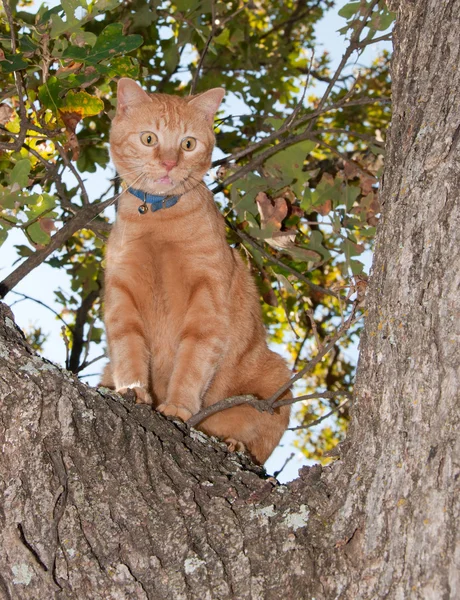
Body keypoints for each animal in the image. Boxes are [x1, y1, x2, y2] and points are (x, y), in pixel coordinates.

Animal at [101, 78, 292, 464]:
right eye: (149, 139)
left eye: (188, 144)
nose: (169, 163)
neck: (159, 219)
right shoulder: (121, 295)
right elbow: (128, 348)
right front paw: (133, 390)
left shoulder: (207, 301)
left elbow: (191, 362)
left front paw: (177, 407)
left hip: (278, 383)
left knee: (258, 444)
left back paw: (235, 445)